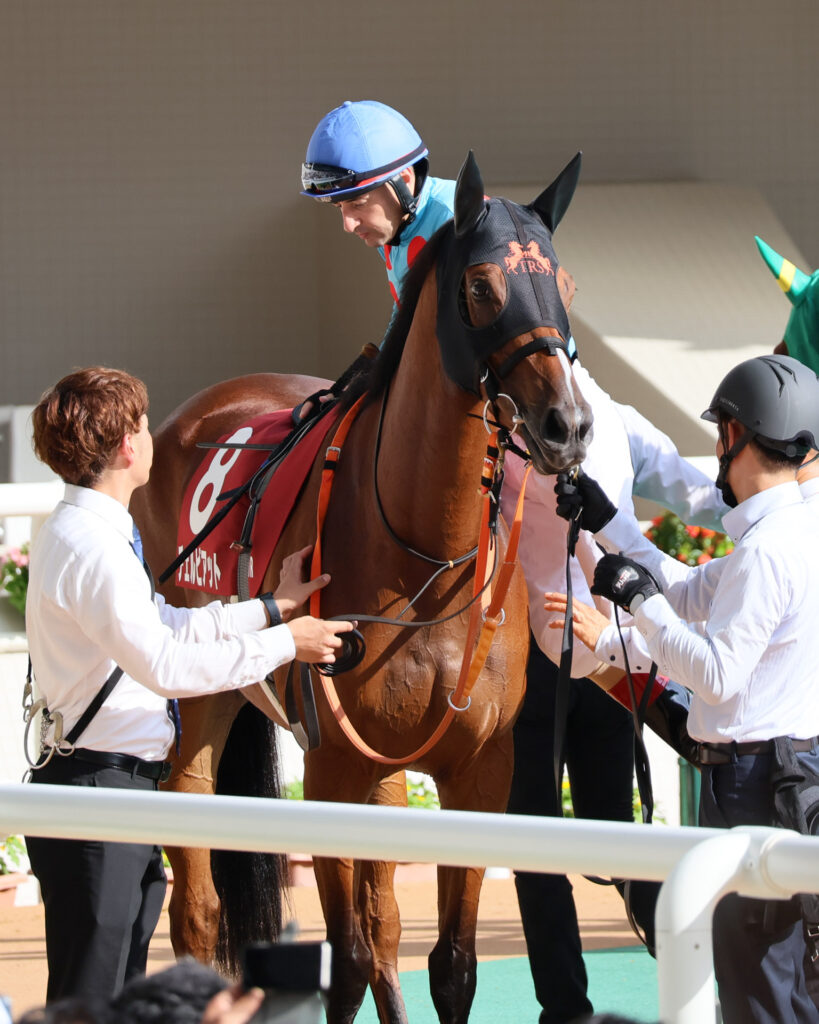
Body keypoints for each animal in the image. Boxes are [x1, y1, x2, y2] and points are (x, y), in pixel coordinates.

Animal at [131, 150, 593, 1024]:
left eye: (567, 283)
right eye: (480, 287)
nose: (568, 425)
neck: (428, 554)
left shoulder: (477, 771)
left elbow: (449, 964)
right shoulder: (335, 768)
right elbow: (341, 960)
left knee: (384, 926)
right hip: (203, 691)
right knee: (197, 890)